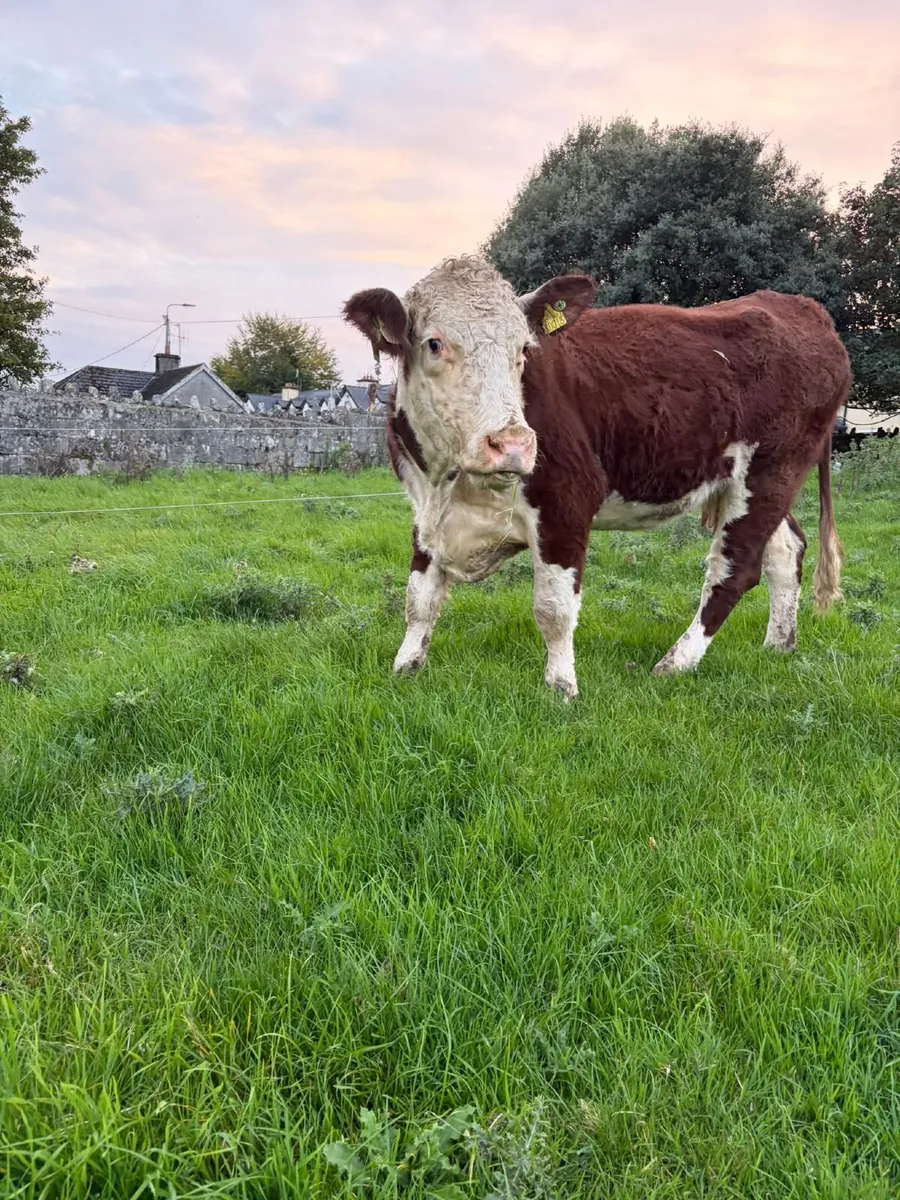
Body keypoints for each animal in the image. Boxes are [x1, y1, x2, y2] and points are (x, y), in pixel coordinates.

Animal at [344, 257, 850, 697]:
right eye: (434, 342)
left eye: (523, 349)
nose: (512, 444)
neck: (452, 480)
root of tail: (803, 308)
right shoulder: (425, 509)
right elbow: (420, 596)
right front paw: (406, 667)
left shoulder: (566, 502)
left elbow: (553, 608)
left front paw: (561, 687)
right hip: (754, 483)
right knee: (785, 549)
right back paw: (779, 644)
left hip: (771, 471)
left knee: (735, 568)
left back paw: (675, 663)